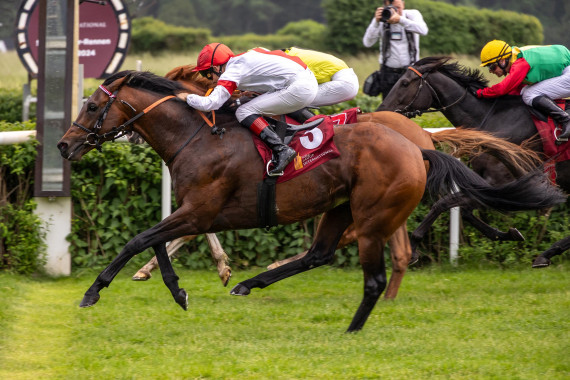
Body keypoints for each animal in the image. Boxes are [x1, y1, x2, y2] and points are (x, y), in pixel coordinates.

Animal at [378, 56, 568, 268]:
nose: (380, 111)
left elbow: (444, 203)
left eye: (404, 83)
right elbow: (465, 212)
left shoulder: (502, 182)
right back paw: (546, 254)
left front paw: (413, 247)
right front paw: (507, 234)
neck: (492, 118)